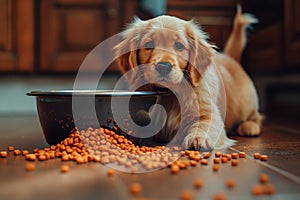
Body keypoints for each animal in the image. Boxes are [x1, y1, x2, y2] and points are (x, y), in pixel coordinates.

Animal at [115, 5, 262, 150]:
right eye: (149, 45)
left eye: (179, 46)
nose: (164, 66)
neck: (170, 94)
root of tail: (230, 57)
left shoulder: (211, 114)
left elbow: (203, 124)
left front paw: (198, 138)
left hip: (246, 104)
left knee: (256, 116)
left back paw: (250, 127)